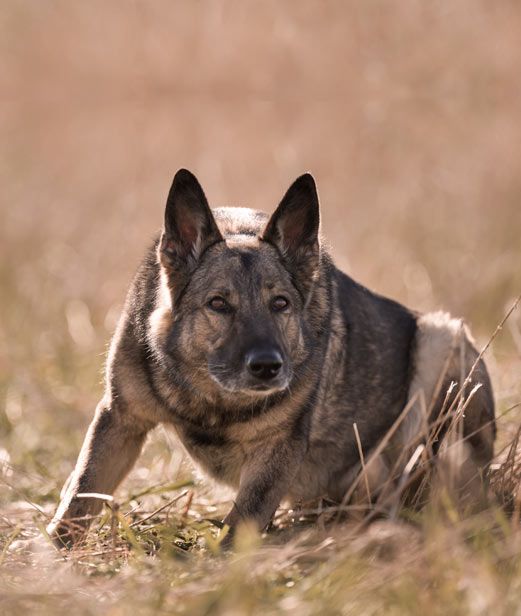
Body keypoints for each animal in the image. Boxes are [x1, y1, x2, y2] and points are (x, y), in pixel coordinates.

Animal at [47, 169, 495, 547]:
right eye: (219, 303)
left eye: (280, 303)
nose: (267, 367)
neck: (212, 400)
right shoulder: (121, 419)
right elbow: (81, 492)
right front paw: (52, 559)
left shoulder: (278, 448)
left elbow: (240, 525)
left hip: (440, 338)